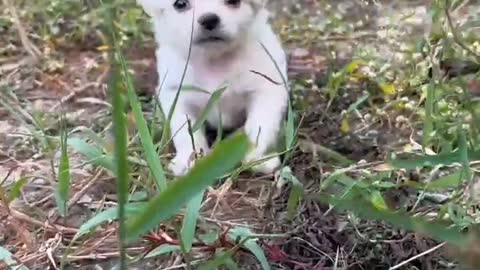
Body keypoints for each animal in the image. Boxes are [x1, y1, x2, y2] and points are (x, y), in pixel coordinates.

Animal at [135, 0, 288, 176]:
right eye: (180, 4)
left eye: (234, 2)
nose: (209, 19)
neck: (215, 60)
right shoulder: (177, 96)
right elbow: (185, 132)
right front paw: (190, 159)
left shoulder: (266, 89)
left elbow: (260, 124)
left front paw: (257, 157)